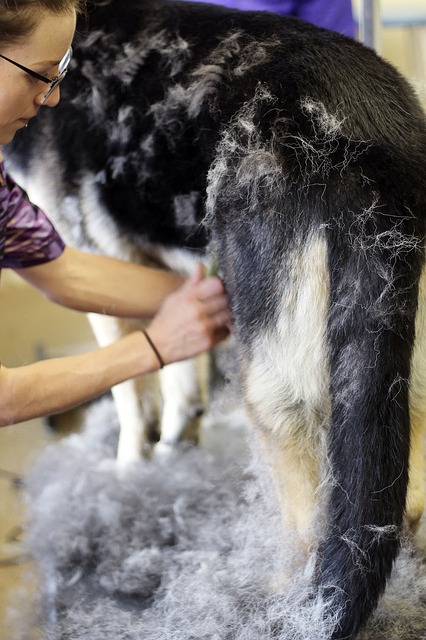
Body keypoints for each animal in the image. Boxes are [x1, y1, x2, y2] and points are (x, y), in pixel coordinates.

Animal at [5, 2, 426, 636]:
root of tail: (376, 142)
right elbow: (179, 376)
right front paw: (176, 446)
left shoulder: (91, 250)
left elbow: (134, 401)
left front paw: (131, 469)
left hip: (277, 381)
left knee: (311, 526)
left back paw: (281, 602)